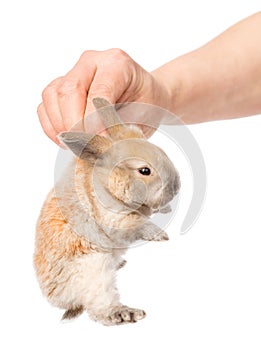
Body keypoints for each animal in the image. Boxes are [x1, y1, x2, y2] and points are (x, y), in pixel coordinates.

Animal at [34, 96, 180, 326]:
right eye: (144, 170)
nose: (176, 187)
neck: (106, 183)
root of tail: (55, 297)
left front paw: (165, 208)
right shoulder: (114, 219)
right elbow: (136, 222)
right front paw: (159, 234)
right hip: (94, 273)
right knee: (99, 307)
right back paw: (126, 313)